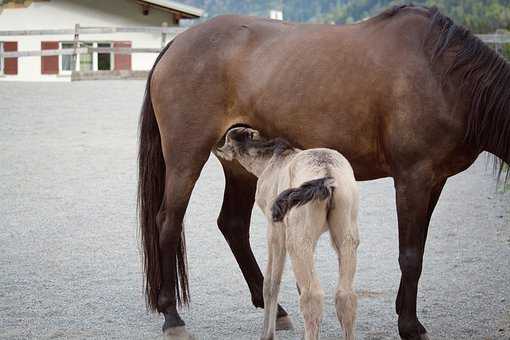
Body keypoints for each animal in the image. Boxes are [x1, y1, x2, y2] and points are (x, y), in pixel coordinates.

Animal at [217, 128, 360, 340]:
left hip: (296, 241)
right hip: (343, 238)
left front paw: (268, 333)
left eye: (227, 140)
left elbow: (271, 283)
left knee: (312, 296)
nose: (219, 149)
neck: (272, 160)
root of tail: (327, 176)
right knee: (345, 296)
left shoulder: (276, 231)